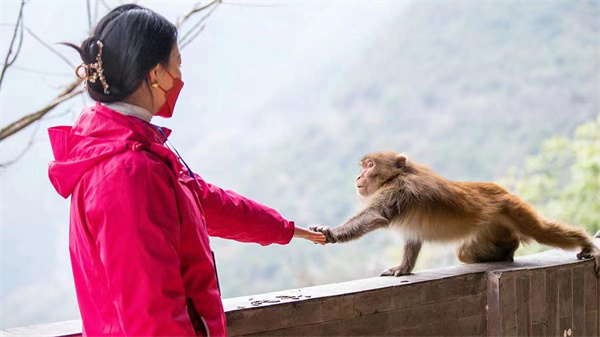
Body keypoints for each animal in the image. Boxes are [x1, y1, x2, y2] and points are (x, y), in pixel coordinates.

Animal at [312, 152, 600, 276]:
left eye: (370, 165)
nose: (358, 177)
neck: (397, 176)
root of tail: (503, 191)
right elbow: (413, 238)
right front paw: (404, 268)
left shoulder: (398, 191)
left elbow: (375, 215)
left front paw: (330, 233)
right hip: (494, 229)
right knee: (466, 252)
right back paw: (505, 252)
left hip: (514, 210)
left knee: (542, 231)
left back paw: (586, 243)